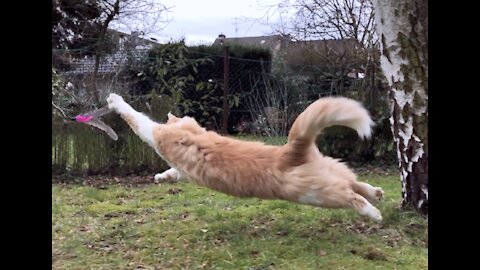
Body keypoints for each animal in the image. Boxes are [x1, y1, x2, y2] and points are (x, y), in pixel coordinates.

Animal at [107, 94, 384, 220]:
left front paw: (114, 100)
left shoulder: (157, 135)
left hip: (318, 194)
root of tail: (290, 151)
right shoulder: (183, 169)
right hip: (330, 172)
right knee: (356, 183)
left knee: (352, 196)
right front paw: (160, 177)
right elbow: (173, 172)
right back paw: (377, 193)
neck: (190, 132)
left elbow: (135, 118)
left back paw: (373, 213)